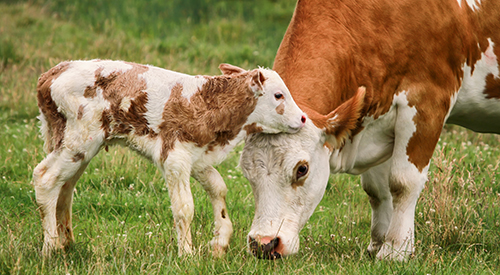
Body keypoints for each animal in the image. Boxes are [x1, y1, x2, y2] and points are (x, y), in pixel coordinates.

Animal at [33, 59, 306, 258]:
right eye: (279, 95)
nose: (303, 118)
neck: (207, 104)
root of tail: (51, 74)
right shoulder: (175, 157)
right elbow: (184, 208)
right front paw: (186, 254)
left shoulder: (198, 157)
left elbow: (218, 188)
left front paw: (219, 242)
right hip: (79, 140)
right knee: (45, 178)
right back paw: (50, 248)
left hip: (79, 147)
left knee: (65, 187)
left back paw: (67, 243)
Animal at [239, 0, 500, 262]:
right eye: (246, 171)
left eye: (302, 169)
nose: (264, 244)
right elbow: (378, 189)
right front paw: (378, 243)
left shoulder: (427, 102)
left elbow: (403, 182)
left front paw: (395, 249)